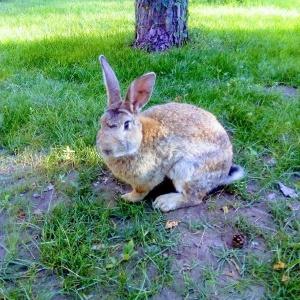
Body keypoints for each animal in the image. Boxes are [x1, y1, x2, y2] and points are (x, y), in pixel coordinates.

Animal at [96, 55, 244, 212]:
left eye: (126, 125)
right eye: (101, 122)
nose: (106, 149)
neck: (140, 141)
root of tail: (224, 173)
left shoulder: (147, 178)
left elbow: (140, 192)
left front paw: (127, 197)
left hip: (186, 170)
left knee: (194, 198)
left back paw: (163, 202)